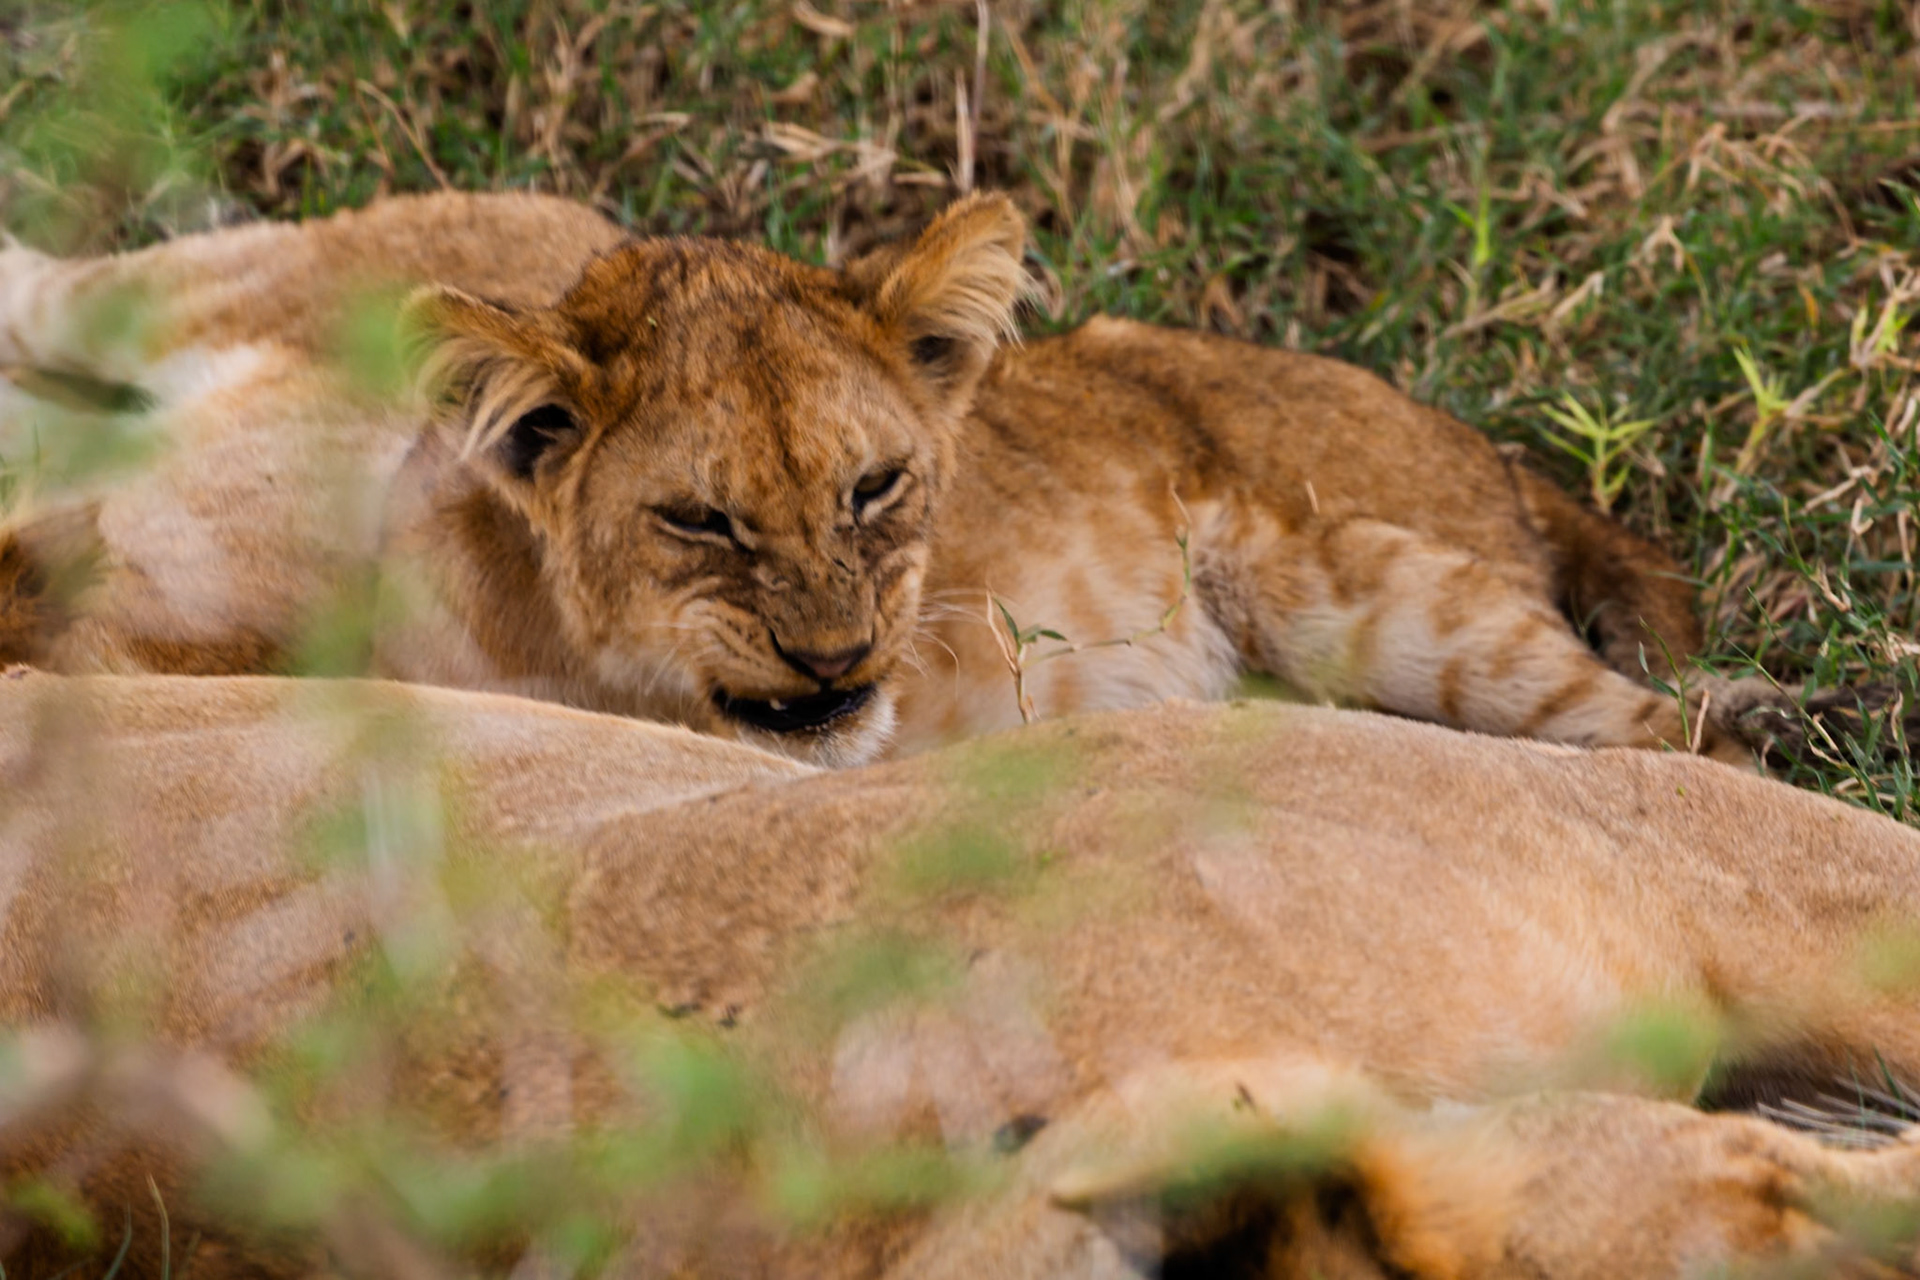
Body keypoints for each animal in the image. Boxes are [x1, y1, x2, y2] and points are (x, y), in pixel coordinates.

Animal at [0, 192, 1812, 765]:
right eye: (700, 520)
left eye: (879, 490)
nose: (838, 662)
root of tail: (1497, 460)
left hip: (1364, 585)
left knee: (1670, 744)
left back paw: (1756, 721)